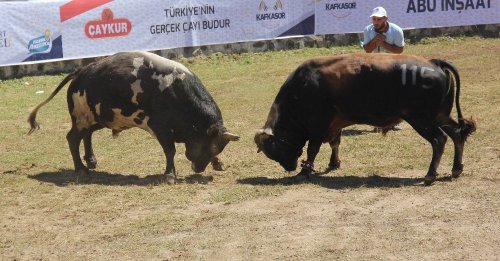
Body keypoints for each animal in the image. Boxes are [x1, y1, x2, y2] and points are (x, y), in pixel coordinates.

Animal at [29, 50, 240, 181]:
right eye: (210, 146)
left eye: (216, 148)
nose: (198, 169)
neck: (176, 91)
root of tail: (80, 72)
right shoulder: (160, 127)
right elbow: (170, 150)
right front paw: (170, 175)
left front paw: (218, 163)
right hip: (81, 119)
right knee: (72, 138)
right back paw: (81, 168)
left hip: (98, 117)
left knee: (87, 135)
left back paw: (91, 160)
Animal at [256, 52, 474, 185]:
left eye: (274, 148)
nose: (289, 167)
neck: (303, 87)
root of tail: (433, 62)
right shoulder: (335, 123)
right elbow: (335, 143)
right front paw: (333, 163)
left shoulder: (318, 125)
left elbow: (313, 148)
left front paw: (305, 171)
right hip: (440, 115)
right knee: (457, 134)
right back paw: (456, 169)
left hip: (422, 120)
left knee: (439, 140)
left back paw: (430, 175)